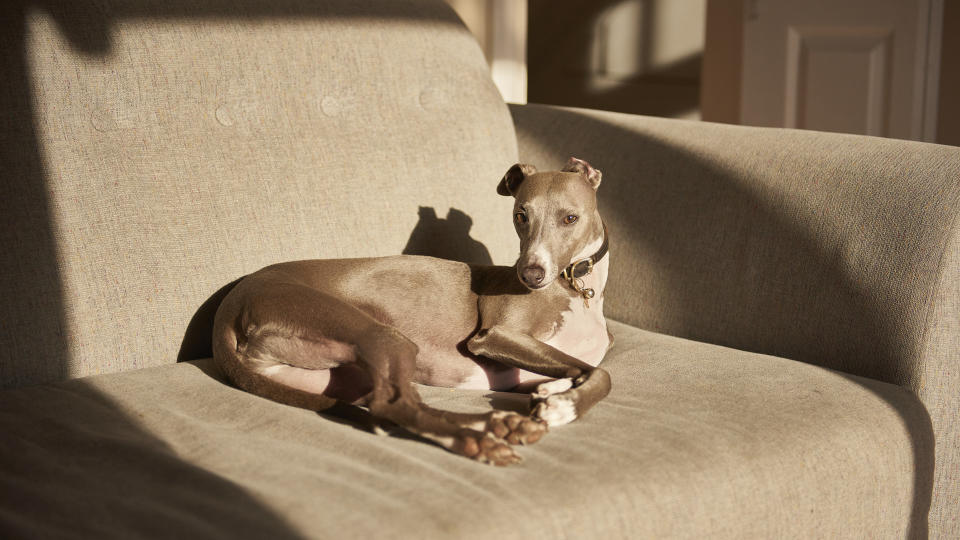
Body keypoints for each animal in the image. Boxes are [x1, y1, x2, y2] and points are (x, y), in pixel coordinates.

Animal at [213, 156, 612, 464]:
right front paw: (563, 406)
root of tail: (232, 302)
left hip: (333, 374)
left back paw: (503, 424)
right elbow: (601, 374)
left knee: (405, 405)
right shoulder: (497, 334)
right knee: (392, 407)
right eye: (520, 215)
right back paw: (478, 442)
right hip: (375, 333)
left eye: (570, 218)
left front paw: (553, 392)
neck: (575, 289)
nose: (530, 275)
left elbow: (582, 367)